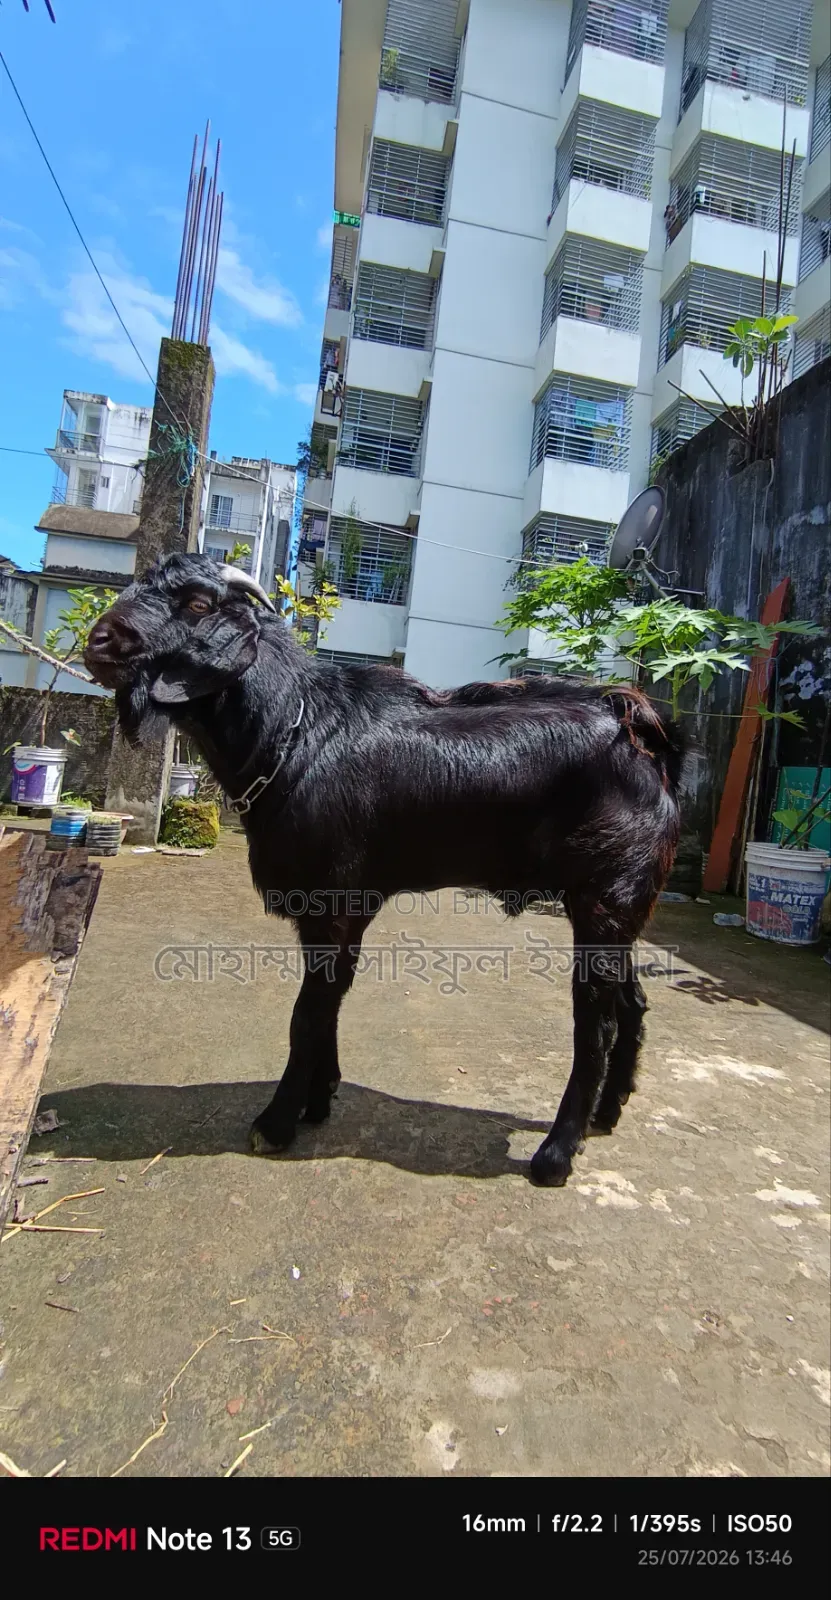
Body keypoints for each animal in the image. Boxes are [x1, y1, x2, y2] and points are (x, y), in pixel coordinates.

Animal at [85, 553, 683, 1187]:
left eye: (198, 604)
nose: (99, 640)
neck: (296, 735)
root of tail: (644, 740)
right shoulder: (342, 909)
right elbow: (329, 999)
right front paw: (319, 1097)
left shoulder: (332, 901)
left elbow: (308, 1012)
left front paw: (276, 1122)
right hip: (617, 906)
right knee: (631, 1002)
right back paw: (608, 1112)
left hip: (604, 897)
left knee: (595, 1024)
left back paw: (556, 1153)